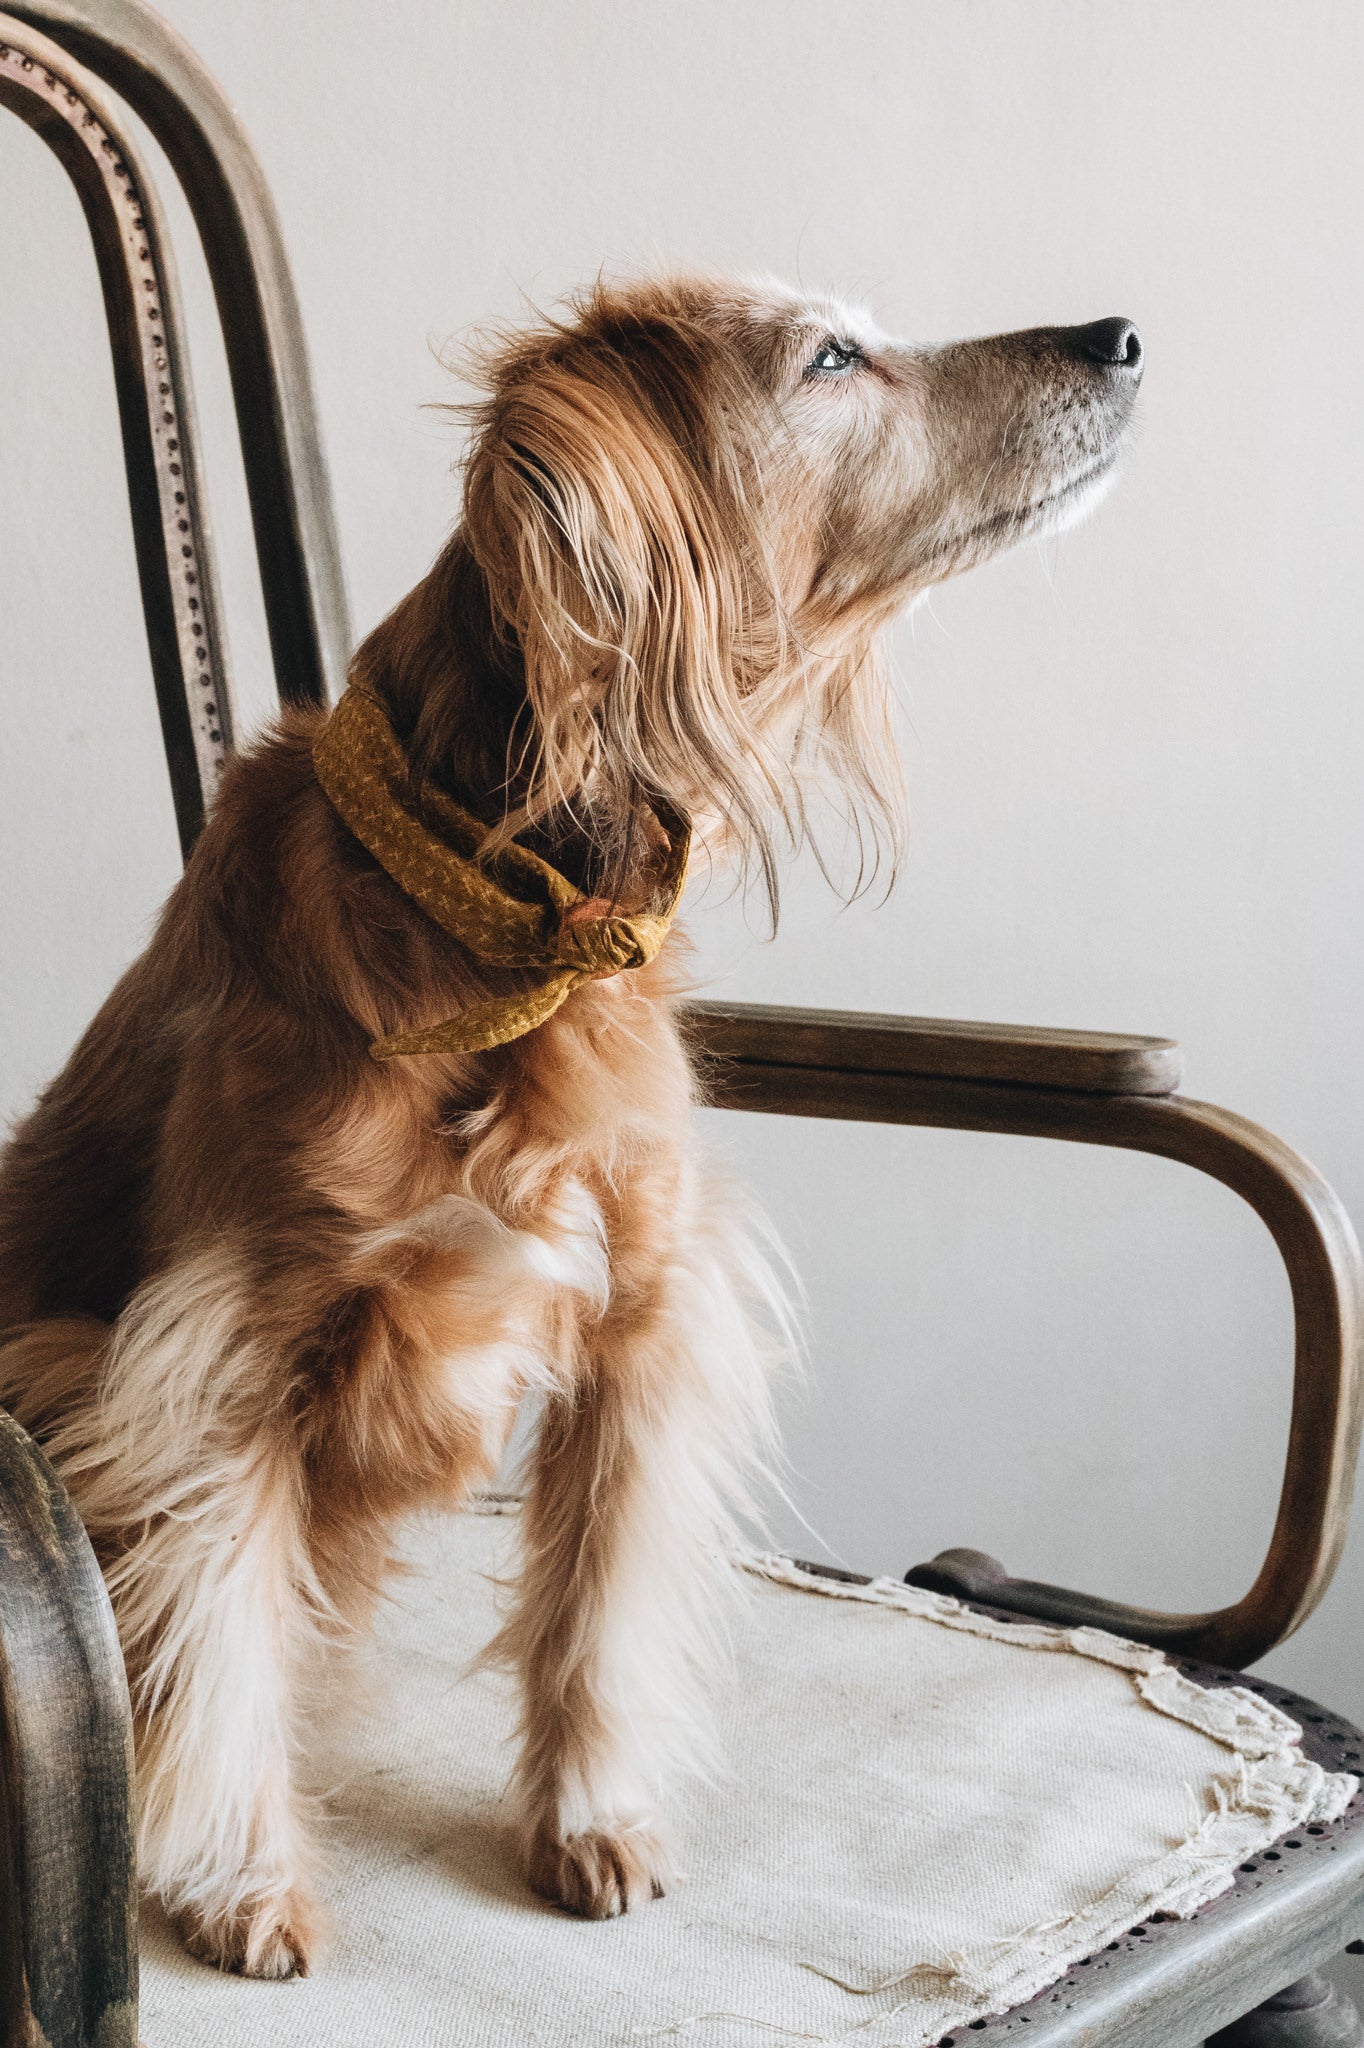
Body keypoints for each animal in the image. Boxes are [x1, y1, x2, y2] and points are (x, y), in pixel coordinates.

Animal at [0, 280, 1138, 1974]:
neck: (499, 924)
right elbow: (221, 1641)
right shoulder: (206, 1359)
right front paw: (243, 1882)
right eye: (830, 357)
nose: (1122, 336)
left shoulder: (643, 1313)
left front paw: (591, 1820)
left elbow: (595, 1612)